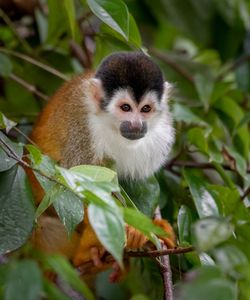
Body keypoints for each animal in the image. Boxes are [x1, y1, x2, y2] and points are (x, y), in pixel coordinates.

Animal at [28, 51, 176, 274]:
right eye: (125, 107)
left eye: (146, 109)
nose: (136, 125)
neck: (110, 125)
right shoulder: (81, 128)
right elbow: (77, 185)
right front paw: (130, 230)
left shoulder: (160, 134)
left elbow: (136, 183)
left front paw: (148, 227)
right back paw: (86, 253)